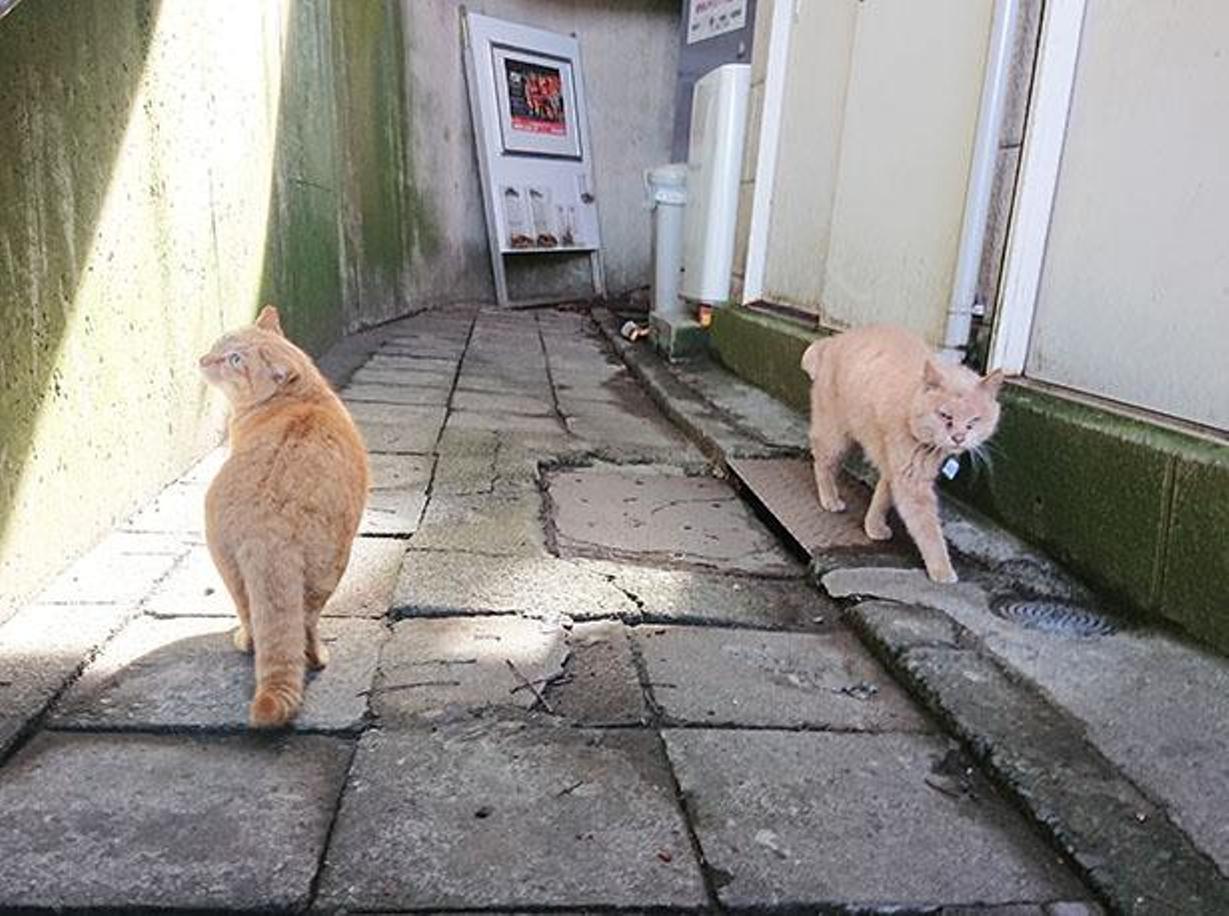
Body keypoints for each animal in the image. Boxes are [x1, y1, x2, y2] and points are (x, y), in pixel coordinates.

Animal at [196, 307, 366, 727]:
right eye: (219, 345)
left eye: (235, 360)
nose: (204, 360)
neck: (302, 395)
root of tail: (267, 526)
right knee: (289, 621)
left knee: (271, 620)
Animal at [801, 324, 1002, 582]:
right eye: (945, 416)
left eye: (974, 421)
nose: (958, 438)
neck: (911, 405)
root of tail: (834, 340)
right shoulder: (911, 482)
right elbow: (928, 530)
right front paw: (942, 570)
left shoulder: (895, 468)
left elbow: (882, 498)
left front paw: (873, 526)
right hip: (835, 436)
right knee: (822, 463)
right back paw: (830, 499)